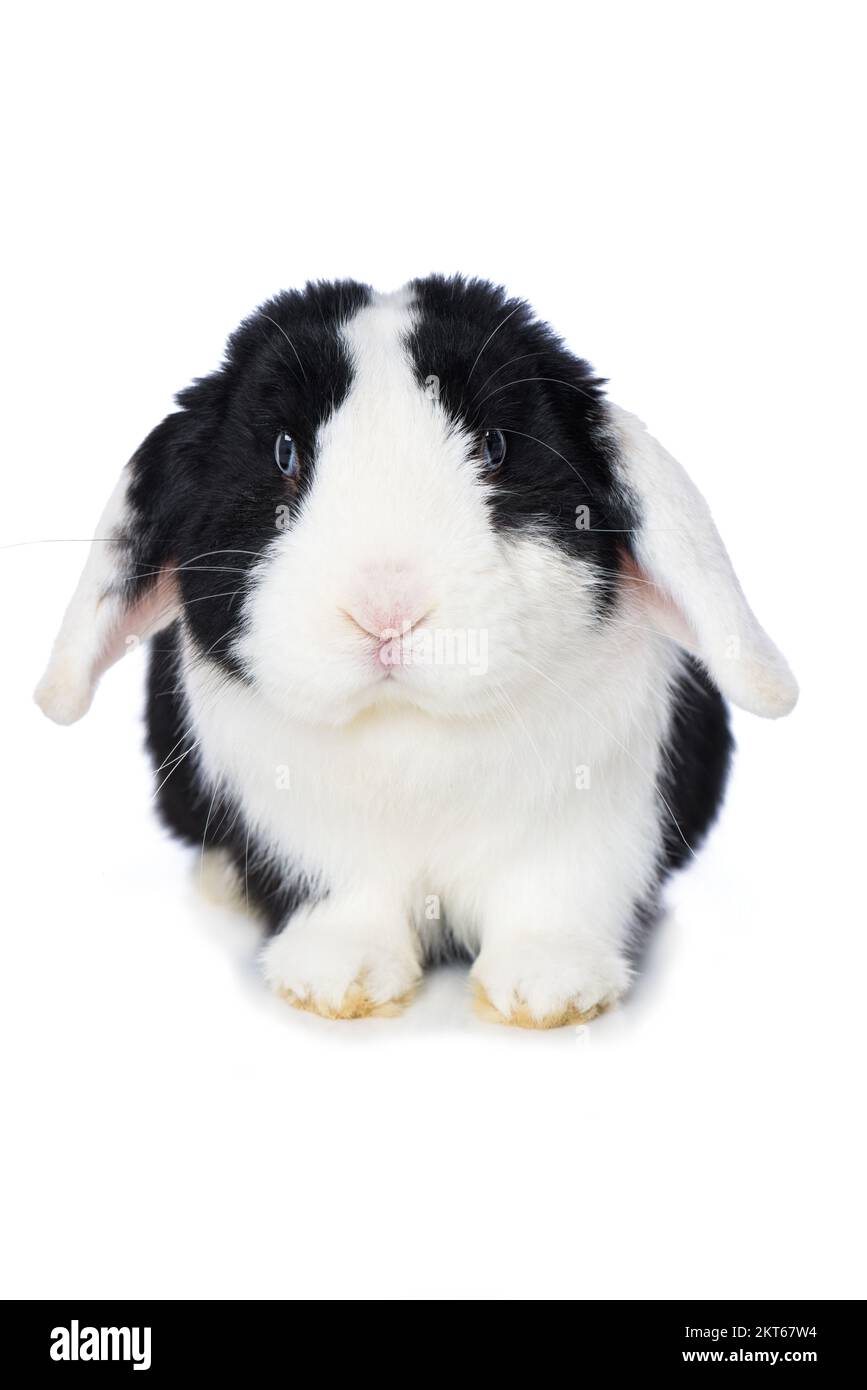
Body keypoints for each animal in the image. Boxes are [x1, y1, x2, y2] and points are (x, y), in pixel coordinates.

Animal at [35, 276, 798, 1028]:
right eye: (285, 454)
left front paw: (549, 989)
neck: (411, 728)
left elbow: (556, 895)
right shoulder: (306, 838)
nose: (386, 610)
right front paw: (337, 980)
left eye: (494, 447)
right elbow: (346, 898)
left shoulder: (594, 825)